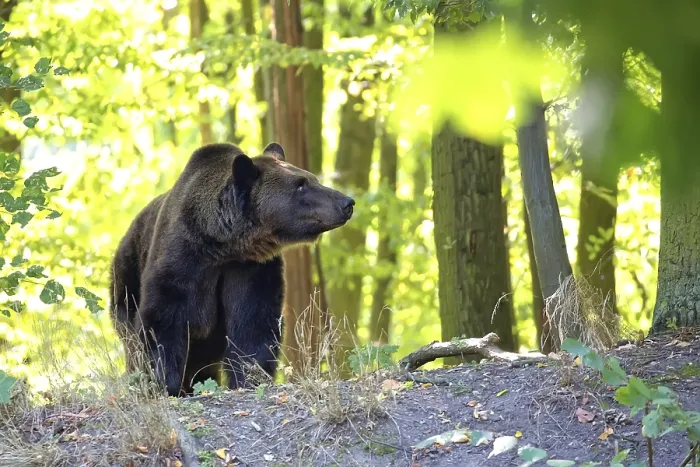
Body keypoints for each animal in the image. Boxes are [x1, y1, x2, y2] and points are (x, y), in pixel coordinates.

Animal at [109, 142, 354, 396]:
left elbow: (253, 323)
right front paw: (164, 382)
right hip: (126, 279)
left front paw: (249, 378)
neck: (223, 244)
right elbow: (164, 318)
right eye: (301, 185)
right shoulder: (183, 260)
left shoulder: (251, 268)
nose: (347, 203)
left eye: (311, 179)